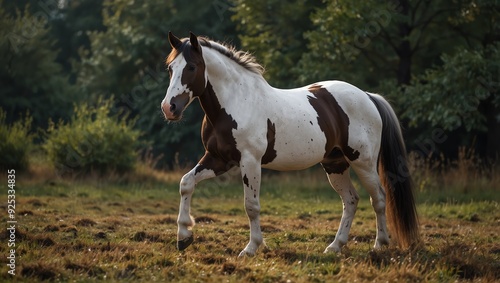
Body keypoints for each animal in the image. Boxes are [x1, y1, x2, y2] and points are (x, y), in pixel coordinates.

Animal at [160, 31, 418, 258]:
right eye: (171, 68)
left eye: (191, 67)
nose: (169, 108)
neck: (236, 102)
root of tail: (368, 96)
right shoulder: (218, 159)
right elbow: (186, 183)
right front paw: (183, 237)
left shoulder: (250, 161)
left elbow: (251, 205)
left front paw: (251, 248)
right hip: (335, 164)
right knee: (351, 200)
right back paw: (335, 246)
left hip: (363, 162)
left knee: (379, 198)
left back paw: (379, 245)